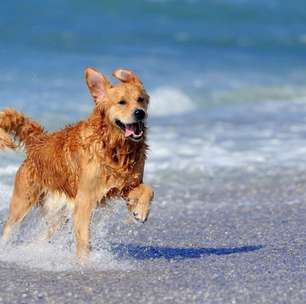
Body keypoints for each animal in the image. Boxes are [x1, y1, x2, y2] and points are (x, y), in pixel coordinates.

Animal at [0, 67, 153, 258]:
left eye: (141, 100)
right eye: (121, 102)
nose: (140, 112)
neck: (114, 147)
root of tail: (39, 141)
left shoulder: (125, 185)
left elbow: (148, 190)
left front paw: (140, 211)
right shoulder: (85, 200)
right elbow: (84, 241)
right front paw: (85, 262)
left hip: (58, 214)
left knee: (43, 236)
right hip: (22, 203)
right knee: (8, 229)